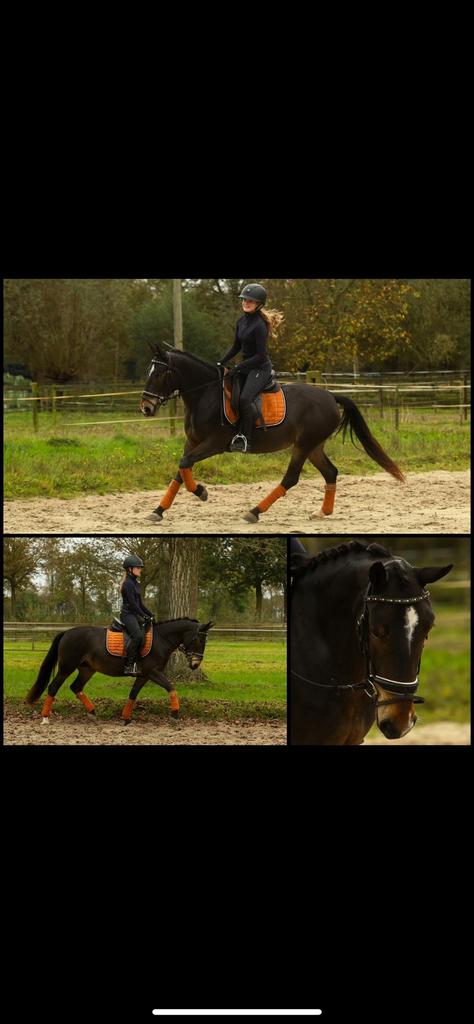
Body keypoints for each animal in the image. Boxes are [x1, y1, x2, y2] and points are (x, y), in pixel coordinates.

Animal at [25, 618, 213, 725]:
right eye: (198, 639)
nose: (195, 664)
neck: (161, 639)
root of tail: (67, 632)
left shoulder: (144, 675)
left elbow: (133, 694)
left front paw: (126, 718)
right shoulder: (153, 673)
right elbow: (171, 688)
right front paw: (174, 715)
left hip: (87, 669)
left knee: (76, 687)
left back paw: (92, 713)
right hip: (67, 667)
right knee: (53, 687)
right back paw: (45, 718)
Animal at [140, 345, 405, 524]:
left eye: (160, 373)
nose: (146, 407)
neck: (206, 395)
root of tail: (330, 396)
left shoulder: (214, 443)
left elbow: (185, 465)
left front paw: (202, 492)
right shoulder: (192, 442)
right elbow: (180, 470)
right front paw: (158, 511)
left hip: (303, 445)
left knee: (291, 478)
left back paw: (254, 512)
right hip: (314, 446)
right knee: (330, 472)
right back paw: (323, 512)